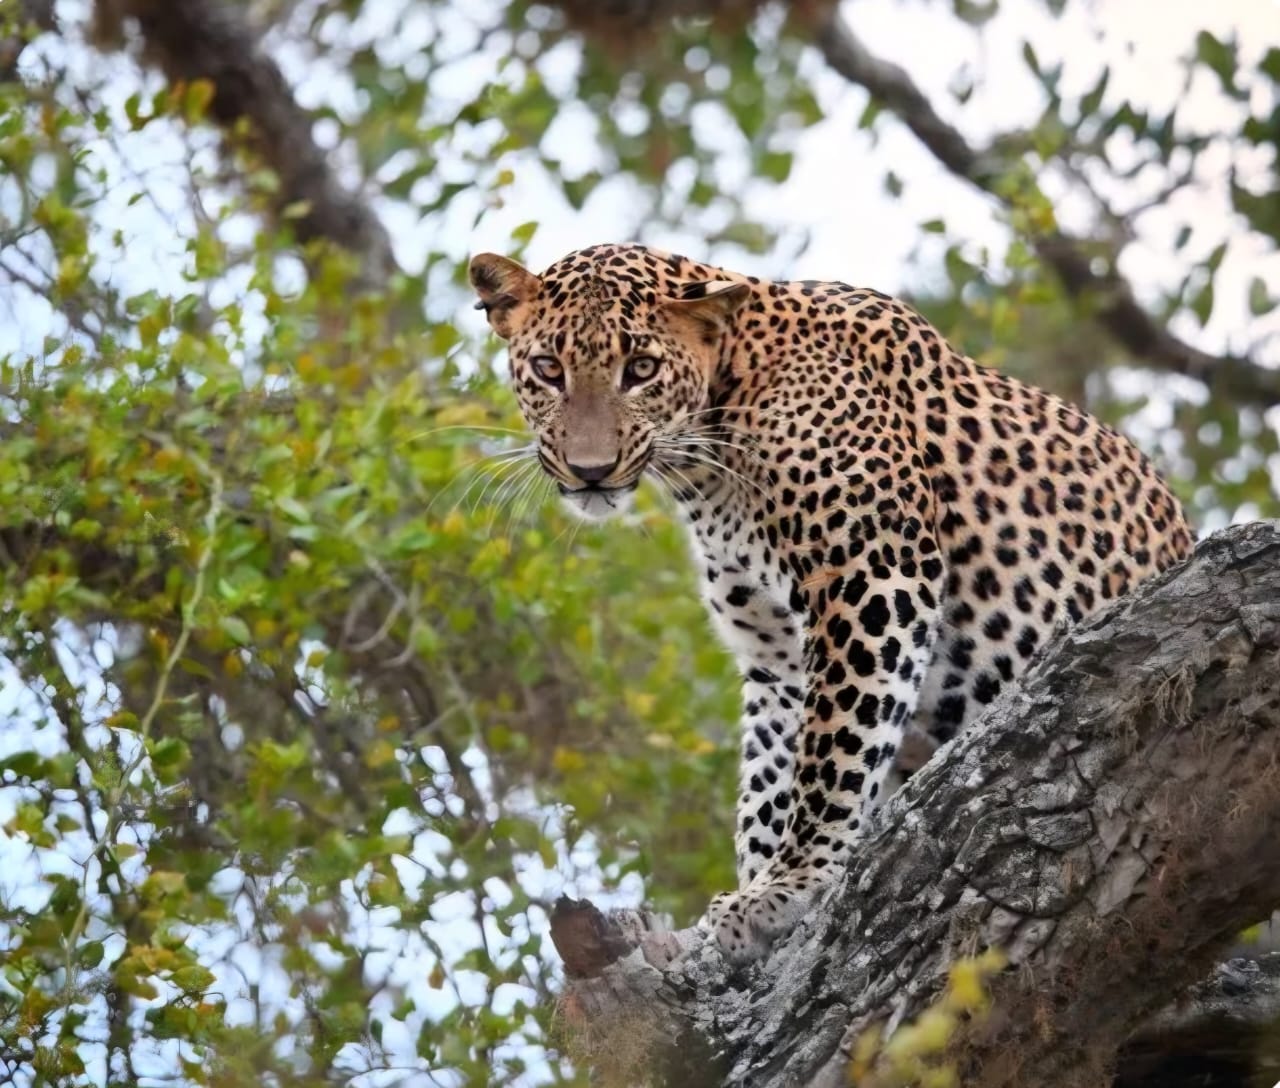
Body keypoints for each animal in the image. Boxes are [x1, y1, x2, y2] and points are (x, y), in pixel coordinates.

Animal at [469, 242, 1194, 963]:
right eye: (548, 369)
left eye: (641, 369)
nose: (589, 470)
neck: (710, 461)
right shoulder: (776, 654)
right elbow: (771, 781)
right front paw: (752, 895)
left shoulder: (873, 572)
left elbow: (836, 752)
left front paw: (789, 887)